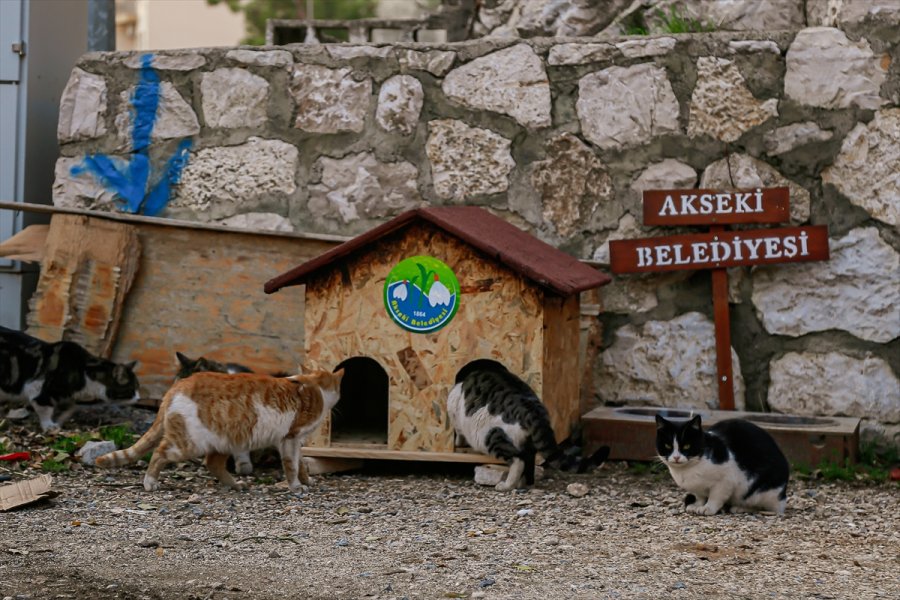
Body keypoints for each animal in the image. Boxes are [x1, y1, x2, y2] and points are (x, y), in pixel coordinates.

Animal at [0, 326, 141, 434]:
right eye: (132, 389)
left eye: (138, 387)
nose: (139, 398)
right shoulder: (38, 390)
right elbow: (46, 410)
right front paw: (49, 426)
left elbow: (69, 409)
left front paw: (60, 421)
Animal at [95, 366, 342, 492]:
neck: (315, 387)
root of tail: (176, 387)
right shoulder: (289, 438)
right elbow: (291, 465)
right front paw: (296, 486)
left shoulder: (296, 441)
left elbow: (301, 464)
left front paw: (306, 480)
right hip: (188, 443)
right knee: (159, 453)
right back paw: (150, 482)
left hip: (226, 441)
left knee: (212, 464)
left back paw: (235, 485)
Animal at [448, 358, 608, 490]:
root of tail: (532, 411)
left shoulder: (454, 413)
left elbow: (459, 433)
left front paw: (458, 443)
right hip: (528, 443)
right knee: (528, 463)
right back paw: (523, 484)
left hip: (491, 436)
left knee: (518, 460)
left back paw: (506, 486)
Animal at [652, 412, 788, 516]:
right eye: (667, 446)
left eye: (687, 446)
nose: (676, 457)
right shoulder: (697, 487)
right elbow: (700, 496)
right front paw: (696, 505)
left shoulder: (726, 480)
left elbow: (715, 497)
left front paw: (707, 508)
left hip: (763, 493)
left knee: (770, 508)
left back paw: (741, 508)